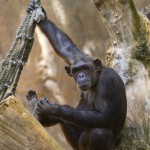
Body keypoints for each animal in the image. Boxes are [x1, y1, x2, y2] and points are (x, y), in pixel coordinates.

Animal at [26, 2, 126, 150]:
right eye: (77, 70)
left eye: (85, 68)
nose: (81, 75)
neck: (97, 77)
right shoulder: (75, 57)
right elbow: (64, 46)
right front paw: (41, 15)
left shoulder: (107, 82)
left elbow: (104, 115)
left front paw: (55, 109)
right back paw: (35, 110)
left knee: (99, 132)